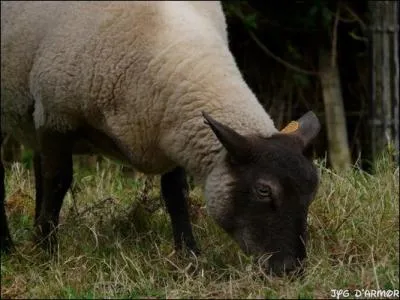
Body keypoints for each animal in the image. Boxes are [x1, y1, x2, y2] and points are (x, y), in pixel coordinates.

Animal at [0, 1, 320, 276]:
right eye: (263, 190)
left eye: (311, 194)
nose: (291, 269)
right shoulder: (56, 115)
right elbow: (58, 182)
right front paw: (46, 253)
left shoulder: (172, 131)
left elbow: (175, 192)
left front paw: (189, 257)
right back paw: (9, 248)